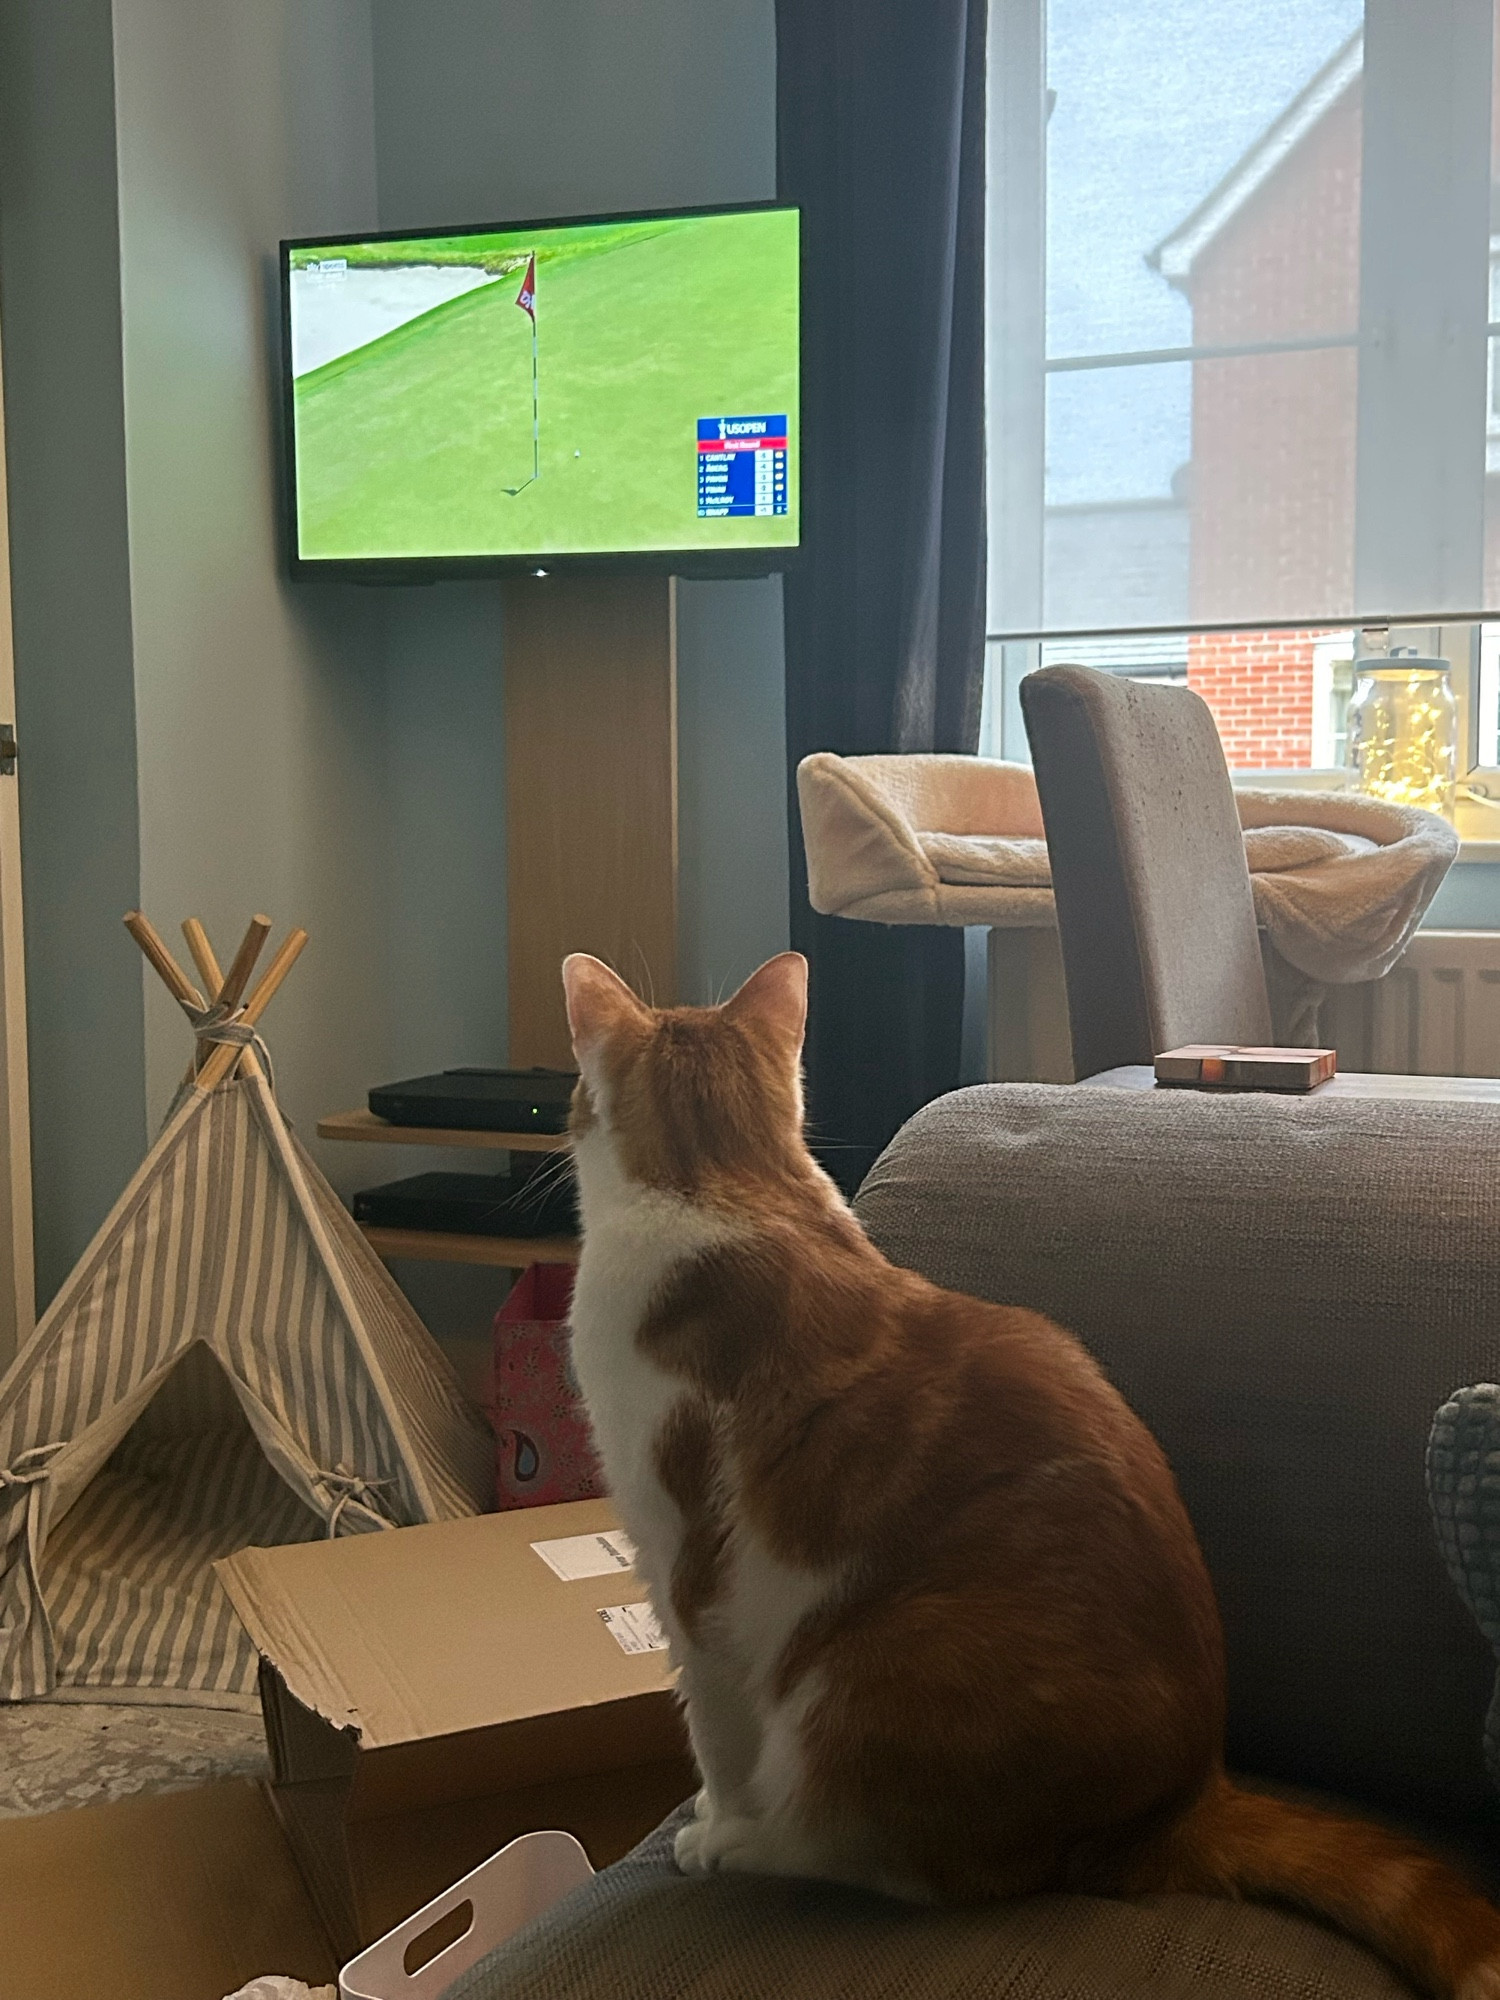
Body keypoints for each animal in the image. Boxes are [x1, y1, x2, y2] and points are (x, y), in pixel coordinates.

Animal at [560, 952, 1500, 2000]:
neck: (728, 1182)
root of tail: (1181, 1802)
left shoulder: (691, 1574)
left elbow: (715, 1731)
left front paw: (714, 1826)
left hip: (865, 1678)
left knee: (920, 1864)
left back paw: (758, 1845)